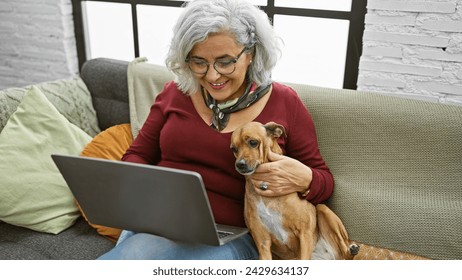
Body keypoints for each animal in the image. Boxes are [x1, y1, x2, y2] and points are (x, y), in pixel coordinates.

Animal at [229, 121, 360, 260]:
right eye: (234, 149)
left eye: (253, 142)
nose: (240, 164)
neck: (268, 197)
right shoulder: (263, 243)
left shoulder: (304, 233)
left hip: (323, 209)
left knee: (346, 254)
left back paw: (352, 249)